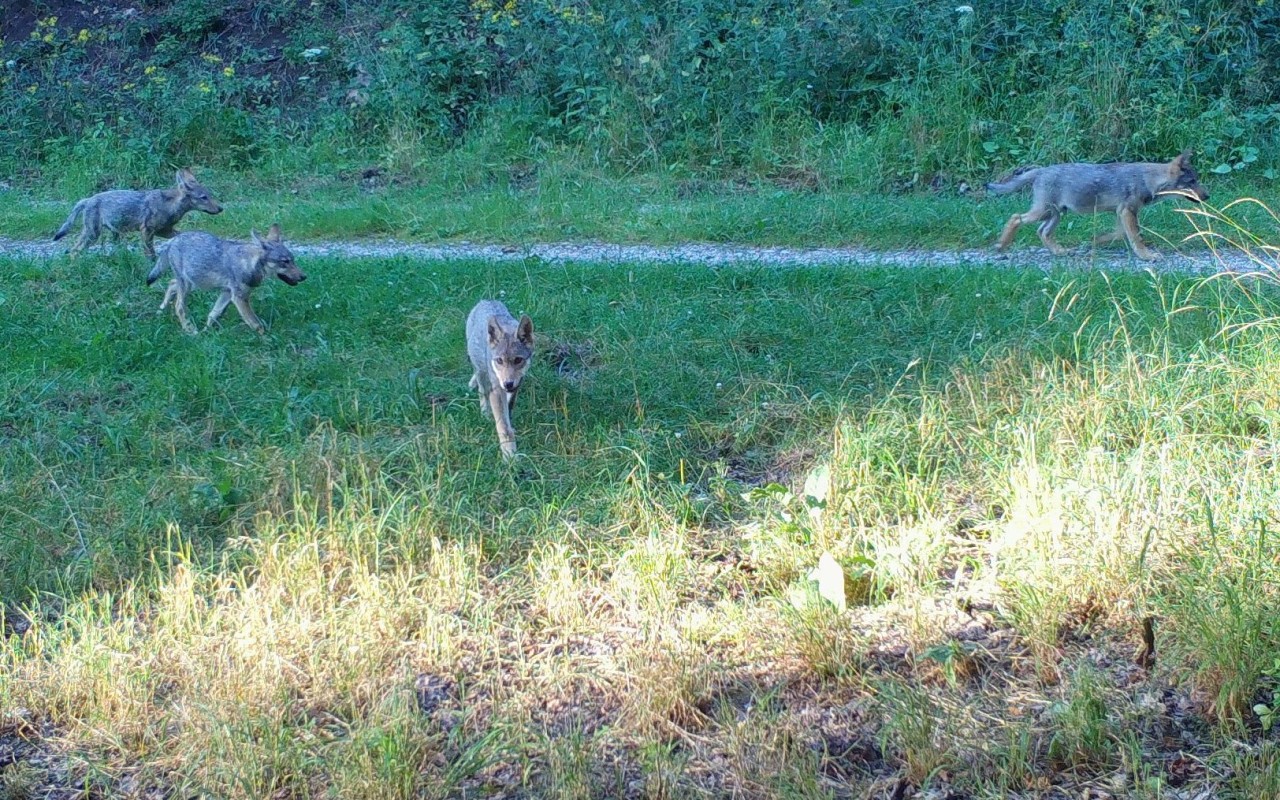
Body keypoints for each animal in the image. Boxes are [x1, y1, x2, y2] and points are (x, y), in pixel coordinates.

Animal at [53, 166, 224, 257]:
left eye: (210, 195)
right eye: (203, 198)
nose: (221, 208)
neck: (170, 207)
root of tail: (87, 199)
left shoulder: (164, 231)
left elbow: (184, 234)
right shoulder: (147, 230)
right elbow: (151, 254)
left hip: (102, 234)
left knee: (75, 249)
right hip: (94, 234)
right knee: (75, 250)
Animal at [146, 221, 305, 332]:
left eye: (293, 260)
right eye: (285, 262)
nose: (304, 276)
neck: (249, 264)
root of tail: (173, 240)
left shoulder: (227, 293)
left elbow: (213, 314)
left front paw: (207, 332)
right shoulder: (239, 298)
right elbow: (256, 324)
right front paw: (267, 341)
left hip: (192, 283)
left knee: (171, 284)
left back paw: (161, 310)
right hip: (188, 285)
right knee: (179, 306)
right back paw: (190, 331)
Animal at [465, 298, 535, 458]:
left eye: (518, 360)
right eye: (499, 361)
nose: (508, 383)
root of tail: (486, 300)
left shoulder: (517, 386)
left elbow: (508, 411)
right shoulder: (497, 390)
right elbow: (503, 426)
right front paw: (510, 456)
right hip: (481, 373)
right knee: (482, 392)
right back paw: (485, 414)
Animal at [988, 149, 1208, 258]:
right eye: (1192, 182)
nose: (1207, 196)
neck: (1148, 180)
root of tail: (1041, 170)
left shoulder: (1121, 213)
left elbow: (1117, 234)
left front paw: (1095, 241)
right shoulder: (1127, 212)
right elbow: (1136, 238)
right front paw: (1147, 256)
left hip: (1057, 214)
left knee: (1042, 232)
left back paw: (1060, 252)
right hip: (1043, 212)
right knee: (1016, 217)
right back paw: (1001, 245)